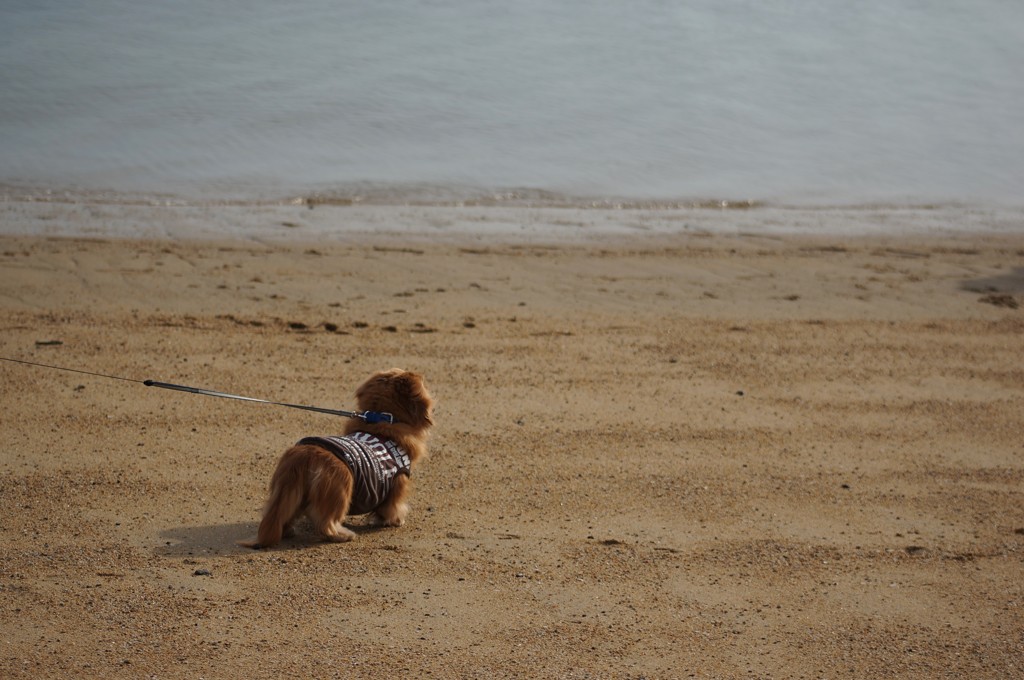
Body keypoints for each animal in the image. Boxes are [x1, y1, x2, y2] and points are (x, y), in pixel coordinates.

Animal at [239, 368, 432, 548]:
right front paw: (394, 520)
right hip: (341, 490)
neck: (381, 419)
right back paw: (342, 534)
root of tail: (304, 455)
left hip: (286, 493)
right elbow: (392, 507)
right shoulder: (397, 483)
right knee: (326, 524)